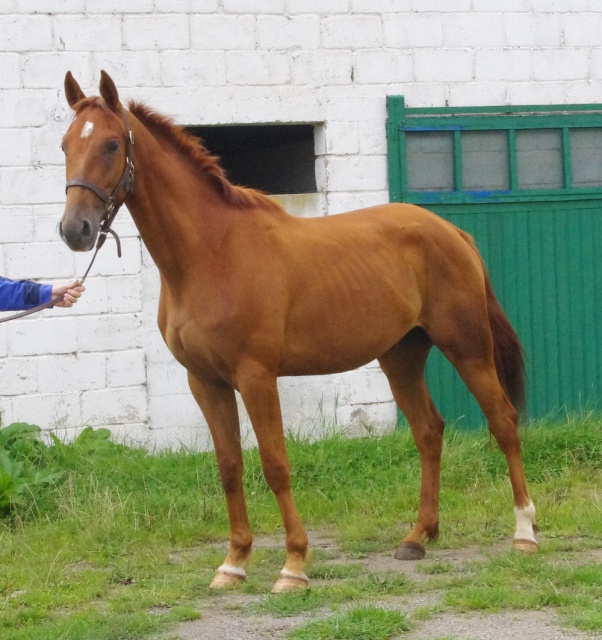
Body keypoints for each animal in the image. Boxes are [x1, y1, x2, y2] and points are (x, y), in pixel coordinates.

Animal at [58, 71, 536, 596]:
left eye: (110, 144)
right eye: (65, 144)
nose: (75, 230)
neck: (210, 253)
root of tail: (453, 233)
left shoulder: (256, 377)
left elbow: (275, 465)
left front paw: (293, 565)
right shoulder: (205, 381)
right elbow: (229, 467)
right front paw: (233, 563)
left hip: (466, 347)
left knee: (503, 422)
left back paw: (525, 533)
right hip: (401, 355)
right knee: (428, 431)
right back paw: (417, 537)